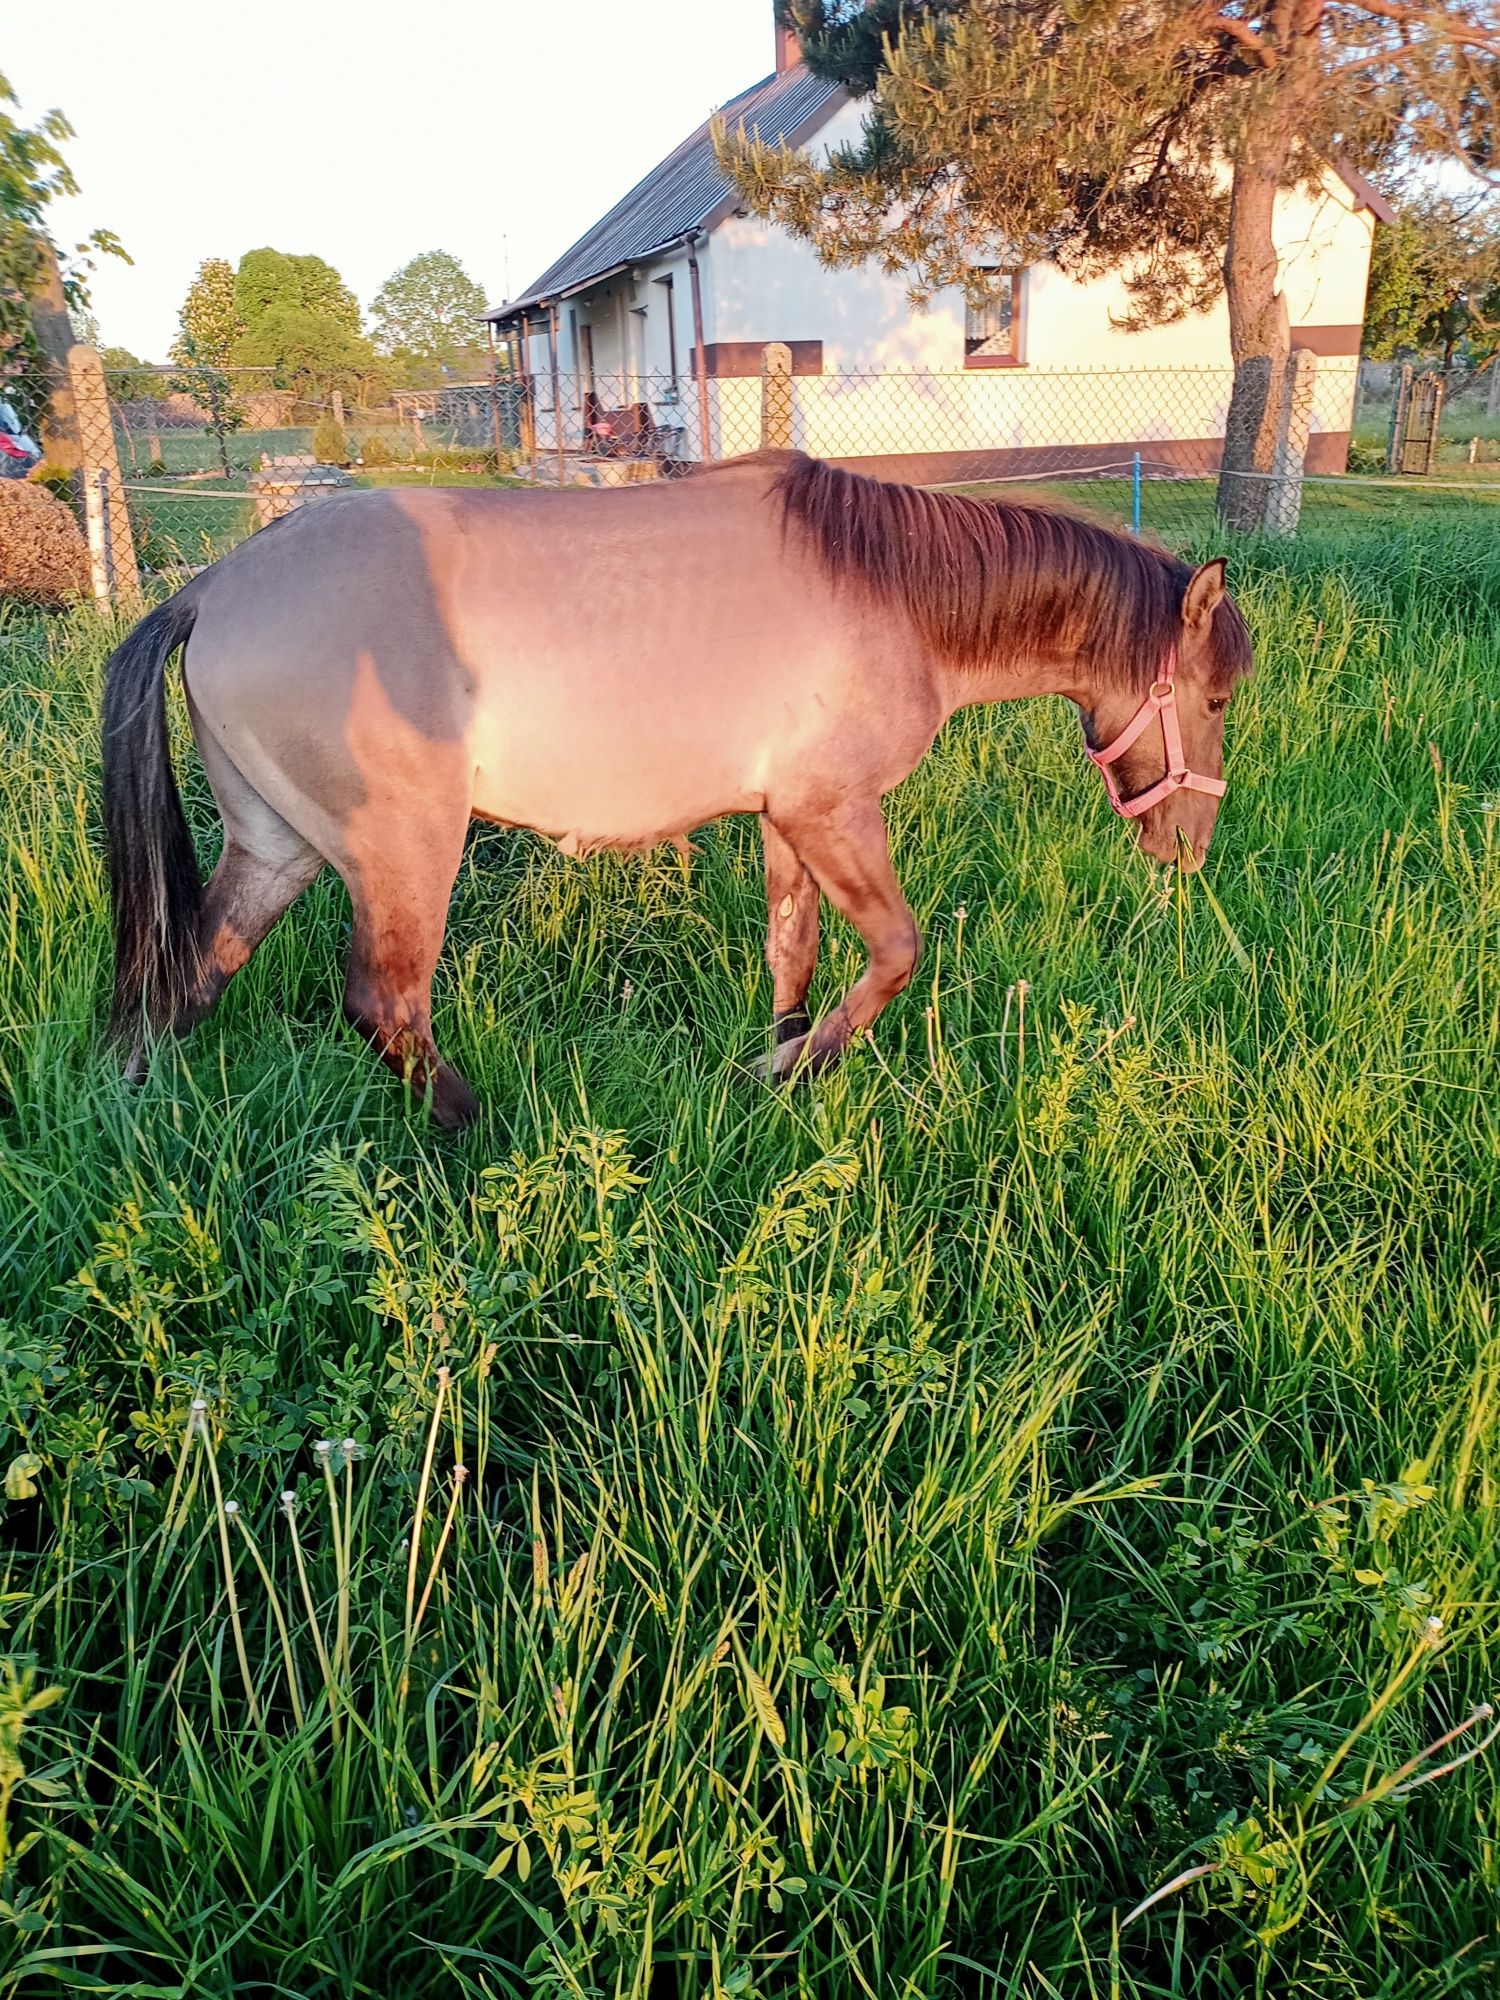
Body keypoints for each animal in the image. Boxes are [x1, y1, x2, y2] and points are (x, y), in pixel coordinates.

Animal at [100, 450, 1256, 1128]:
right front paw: (789, 1072)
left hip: (275, 849)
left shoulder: (788, 820)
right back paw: (483, 1127)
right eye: (1217, 696)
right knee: (385, 1006)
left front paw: (779, 1067)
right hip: (404, 854)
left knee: (185, 978)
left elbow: (795, 956)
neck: (892, 591)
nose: (1193, 848)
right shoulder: (833, 812)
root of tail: (213, 589)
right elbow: (895, 952)